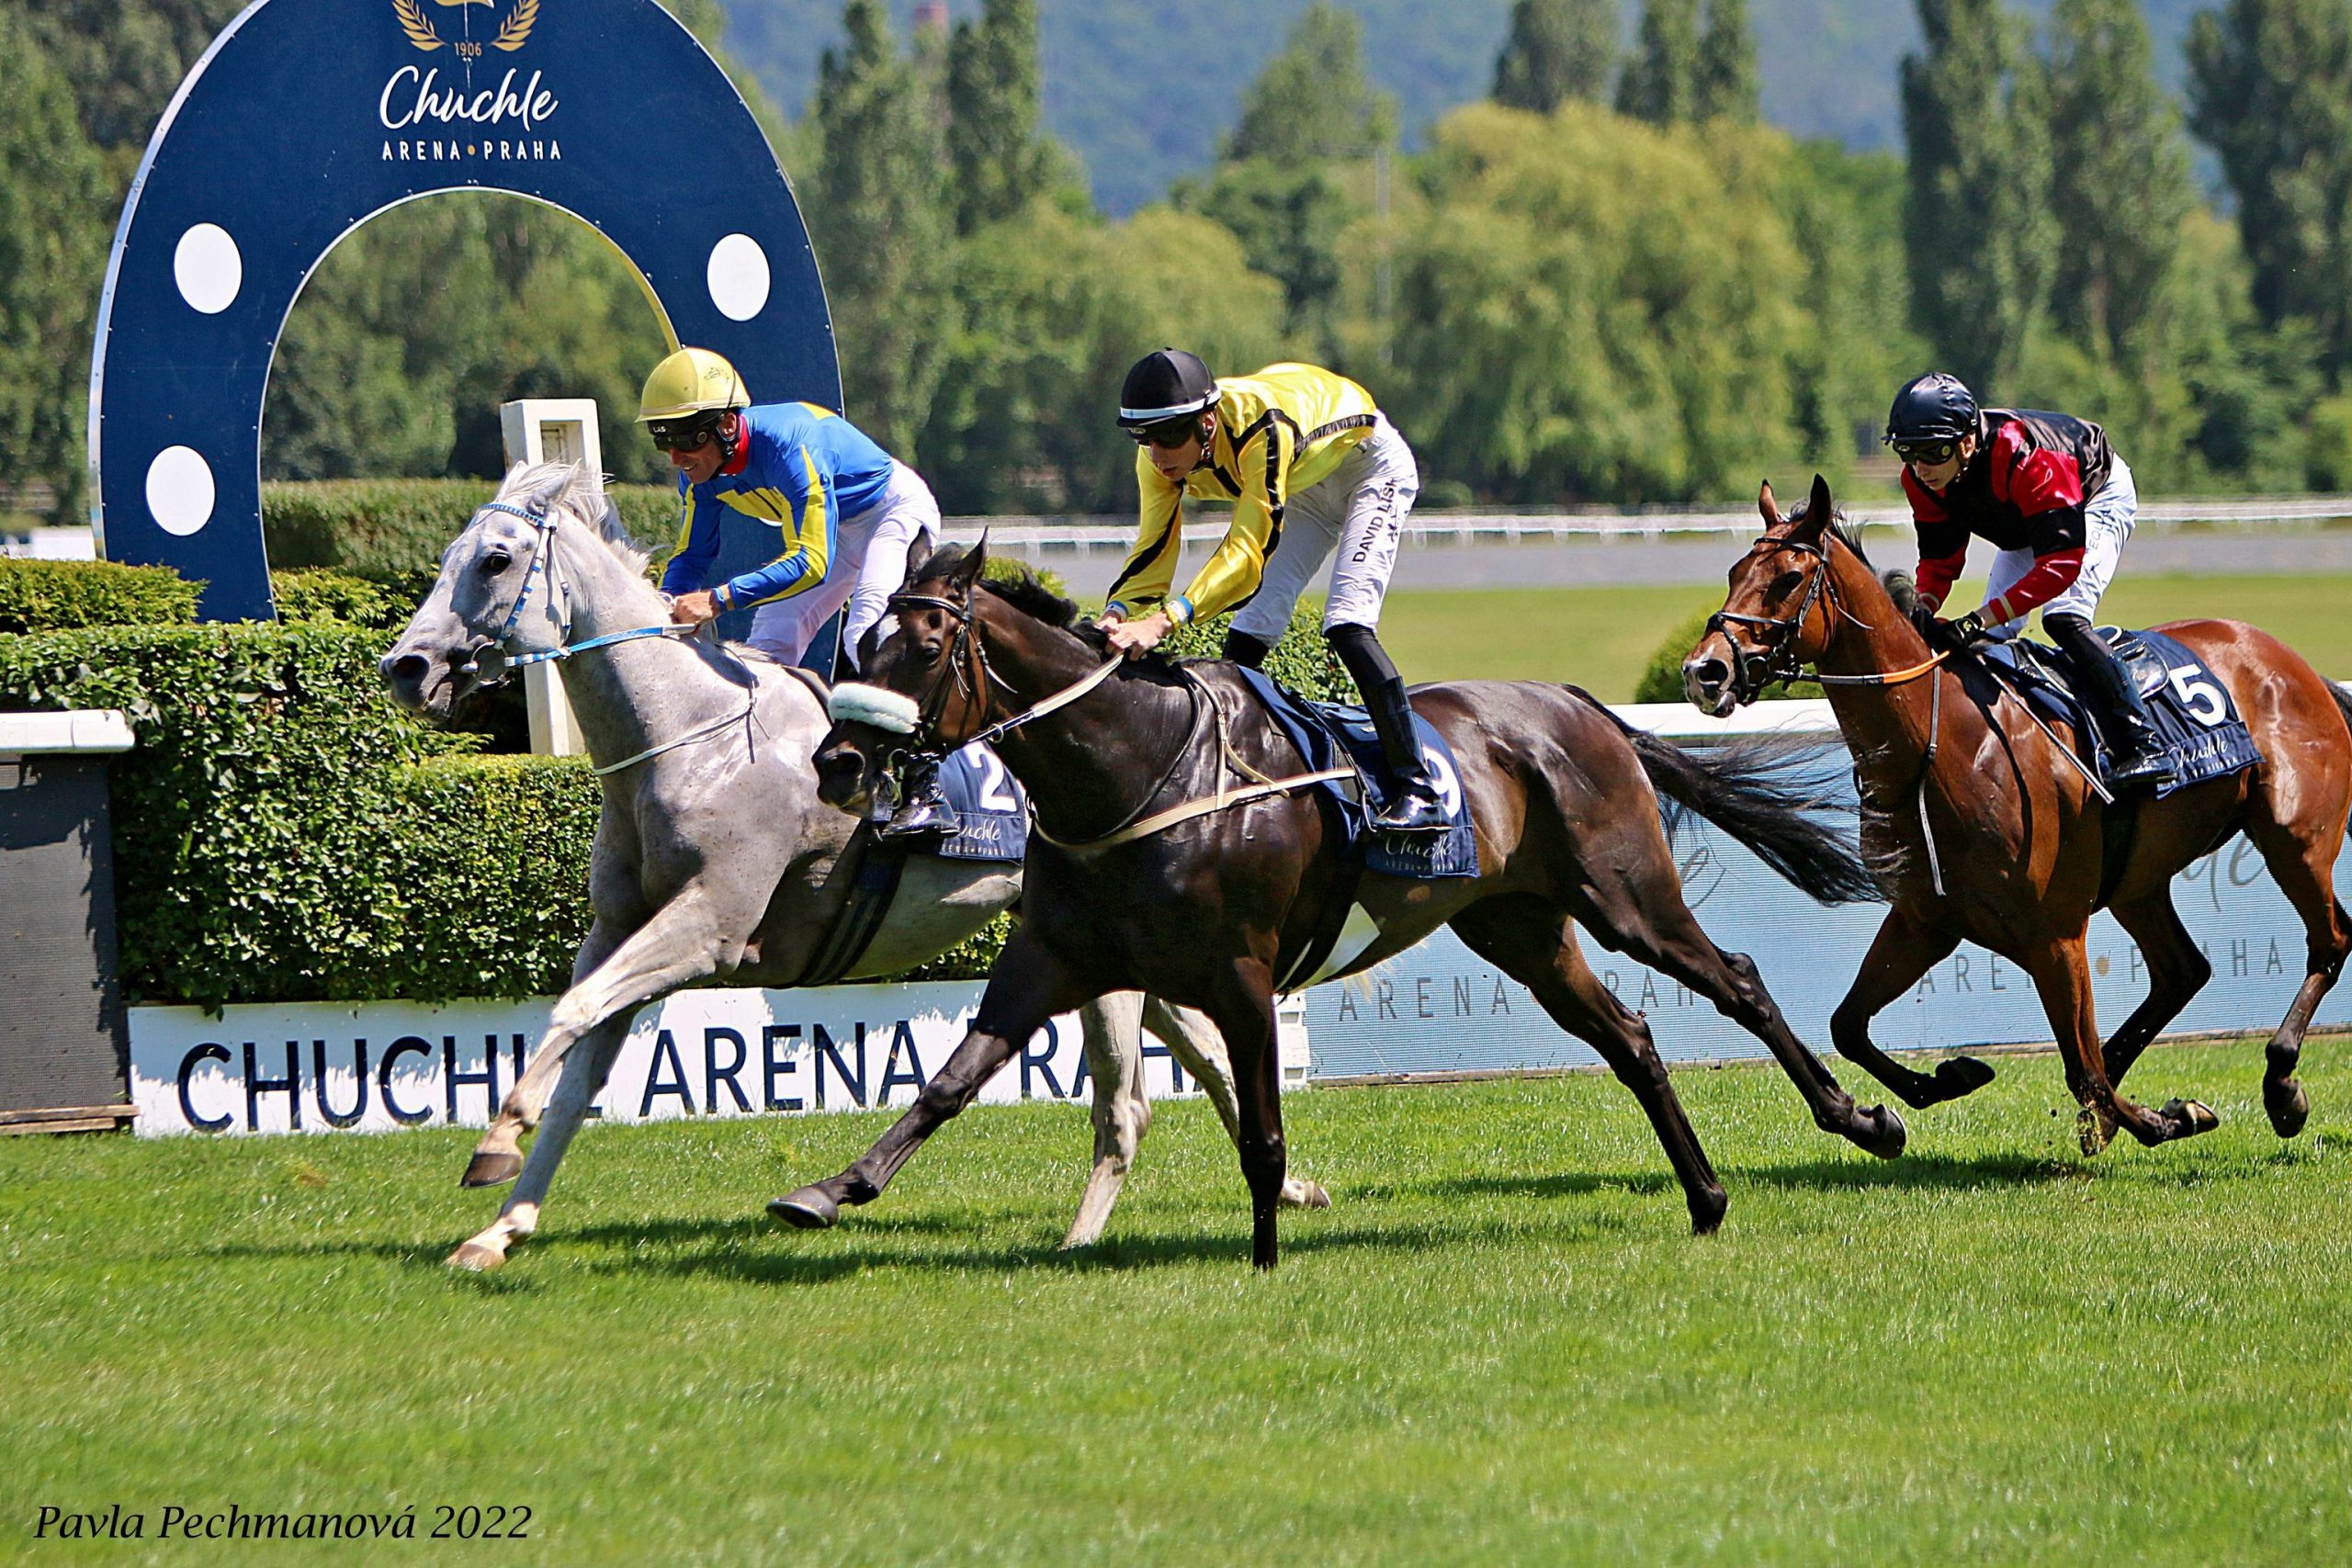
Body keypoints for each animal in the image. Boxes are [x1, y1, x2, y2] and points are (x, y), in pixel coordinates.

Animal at [380, 460, 1326, 1269]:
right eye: (448, 555)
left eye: (495, 559)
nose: (405, 666)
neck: (688, 738)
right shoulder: (619, 927)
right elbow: (580, 1064)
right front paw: (498, 1230)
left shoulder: (709, 926)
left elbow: (572, 1014)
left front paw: (495, 1144)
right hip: (1103, 939)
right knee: (1203, 1050)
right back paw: (1296, 1185)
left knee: (1129, 1101)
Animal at [780, 543, 1900, 1279]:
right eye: (862, 637)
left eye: (927, 645)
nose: (837, 763)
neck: (1136, 770)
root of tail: (1581, 706)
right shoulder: (1051, 957)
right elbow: (947, 1083)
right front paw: (829, 1190)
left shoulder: (1241, 975)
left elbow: (1262, 1130)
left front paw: (1267, 1255)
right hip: (1520, 927)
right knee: (1629, 1036)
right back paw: (1706, 1199)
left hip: (1625, 895)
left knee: (1737, 982)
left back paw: (1865, 1119)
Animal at [1683, 474, 2342, 1152]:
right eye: (1735, 571)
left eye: (1788, 578)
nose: (1705, 670)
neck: (1947, 746)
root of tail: (2294, 664)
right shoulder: (1925, 918)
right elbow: (1848, 1026)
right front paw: (1939, 1083)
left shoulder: (2055, 935)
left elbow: (2084, 1072)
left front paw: (2168, 1116)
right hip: (2139, 878)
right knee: (2183, 971)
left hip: (2295, 839)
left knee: (2329, 941)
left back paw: (2282, 1087)